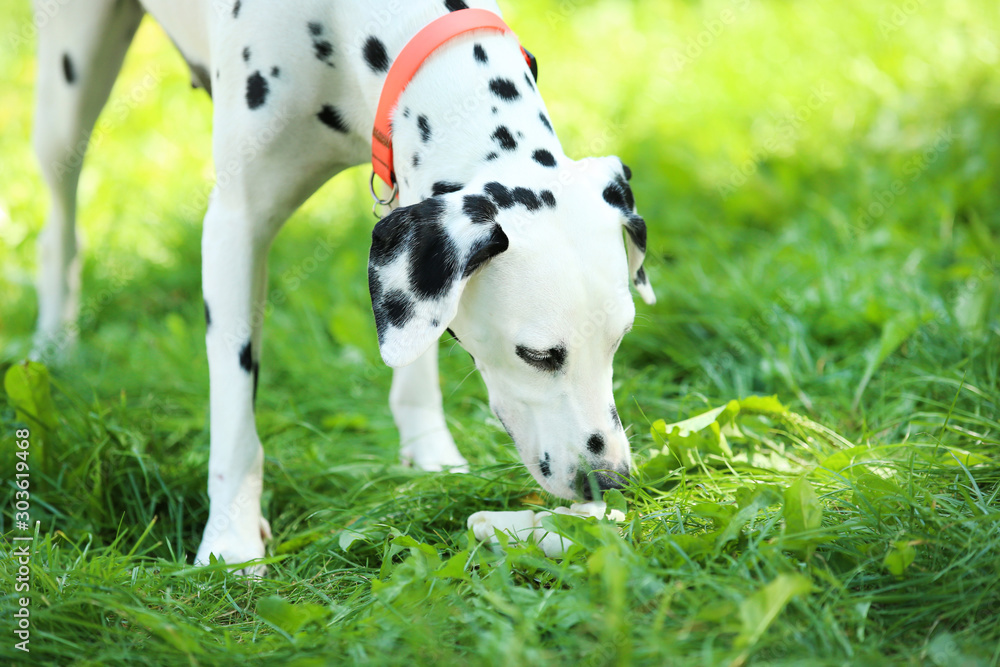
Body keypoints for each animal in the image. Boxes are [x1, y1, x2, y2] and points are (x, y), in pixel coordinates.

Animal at [31, 0, 652, 576]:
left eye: (620, 339)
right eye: (538, 355)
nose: (610, 482)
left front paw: (429, 452)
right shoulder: (235, 225)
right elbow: (234, 413)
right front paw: (230, 541)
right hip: (68, 94)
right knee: (58, 223)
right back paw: (51, 347)